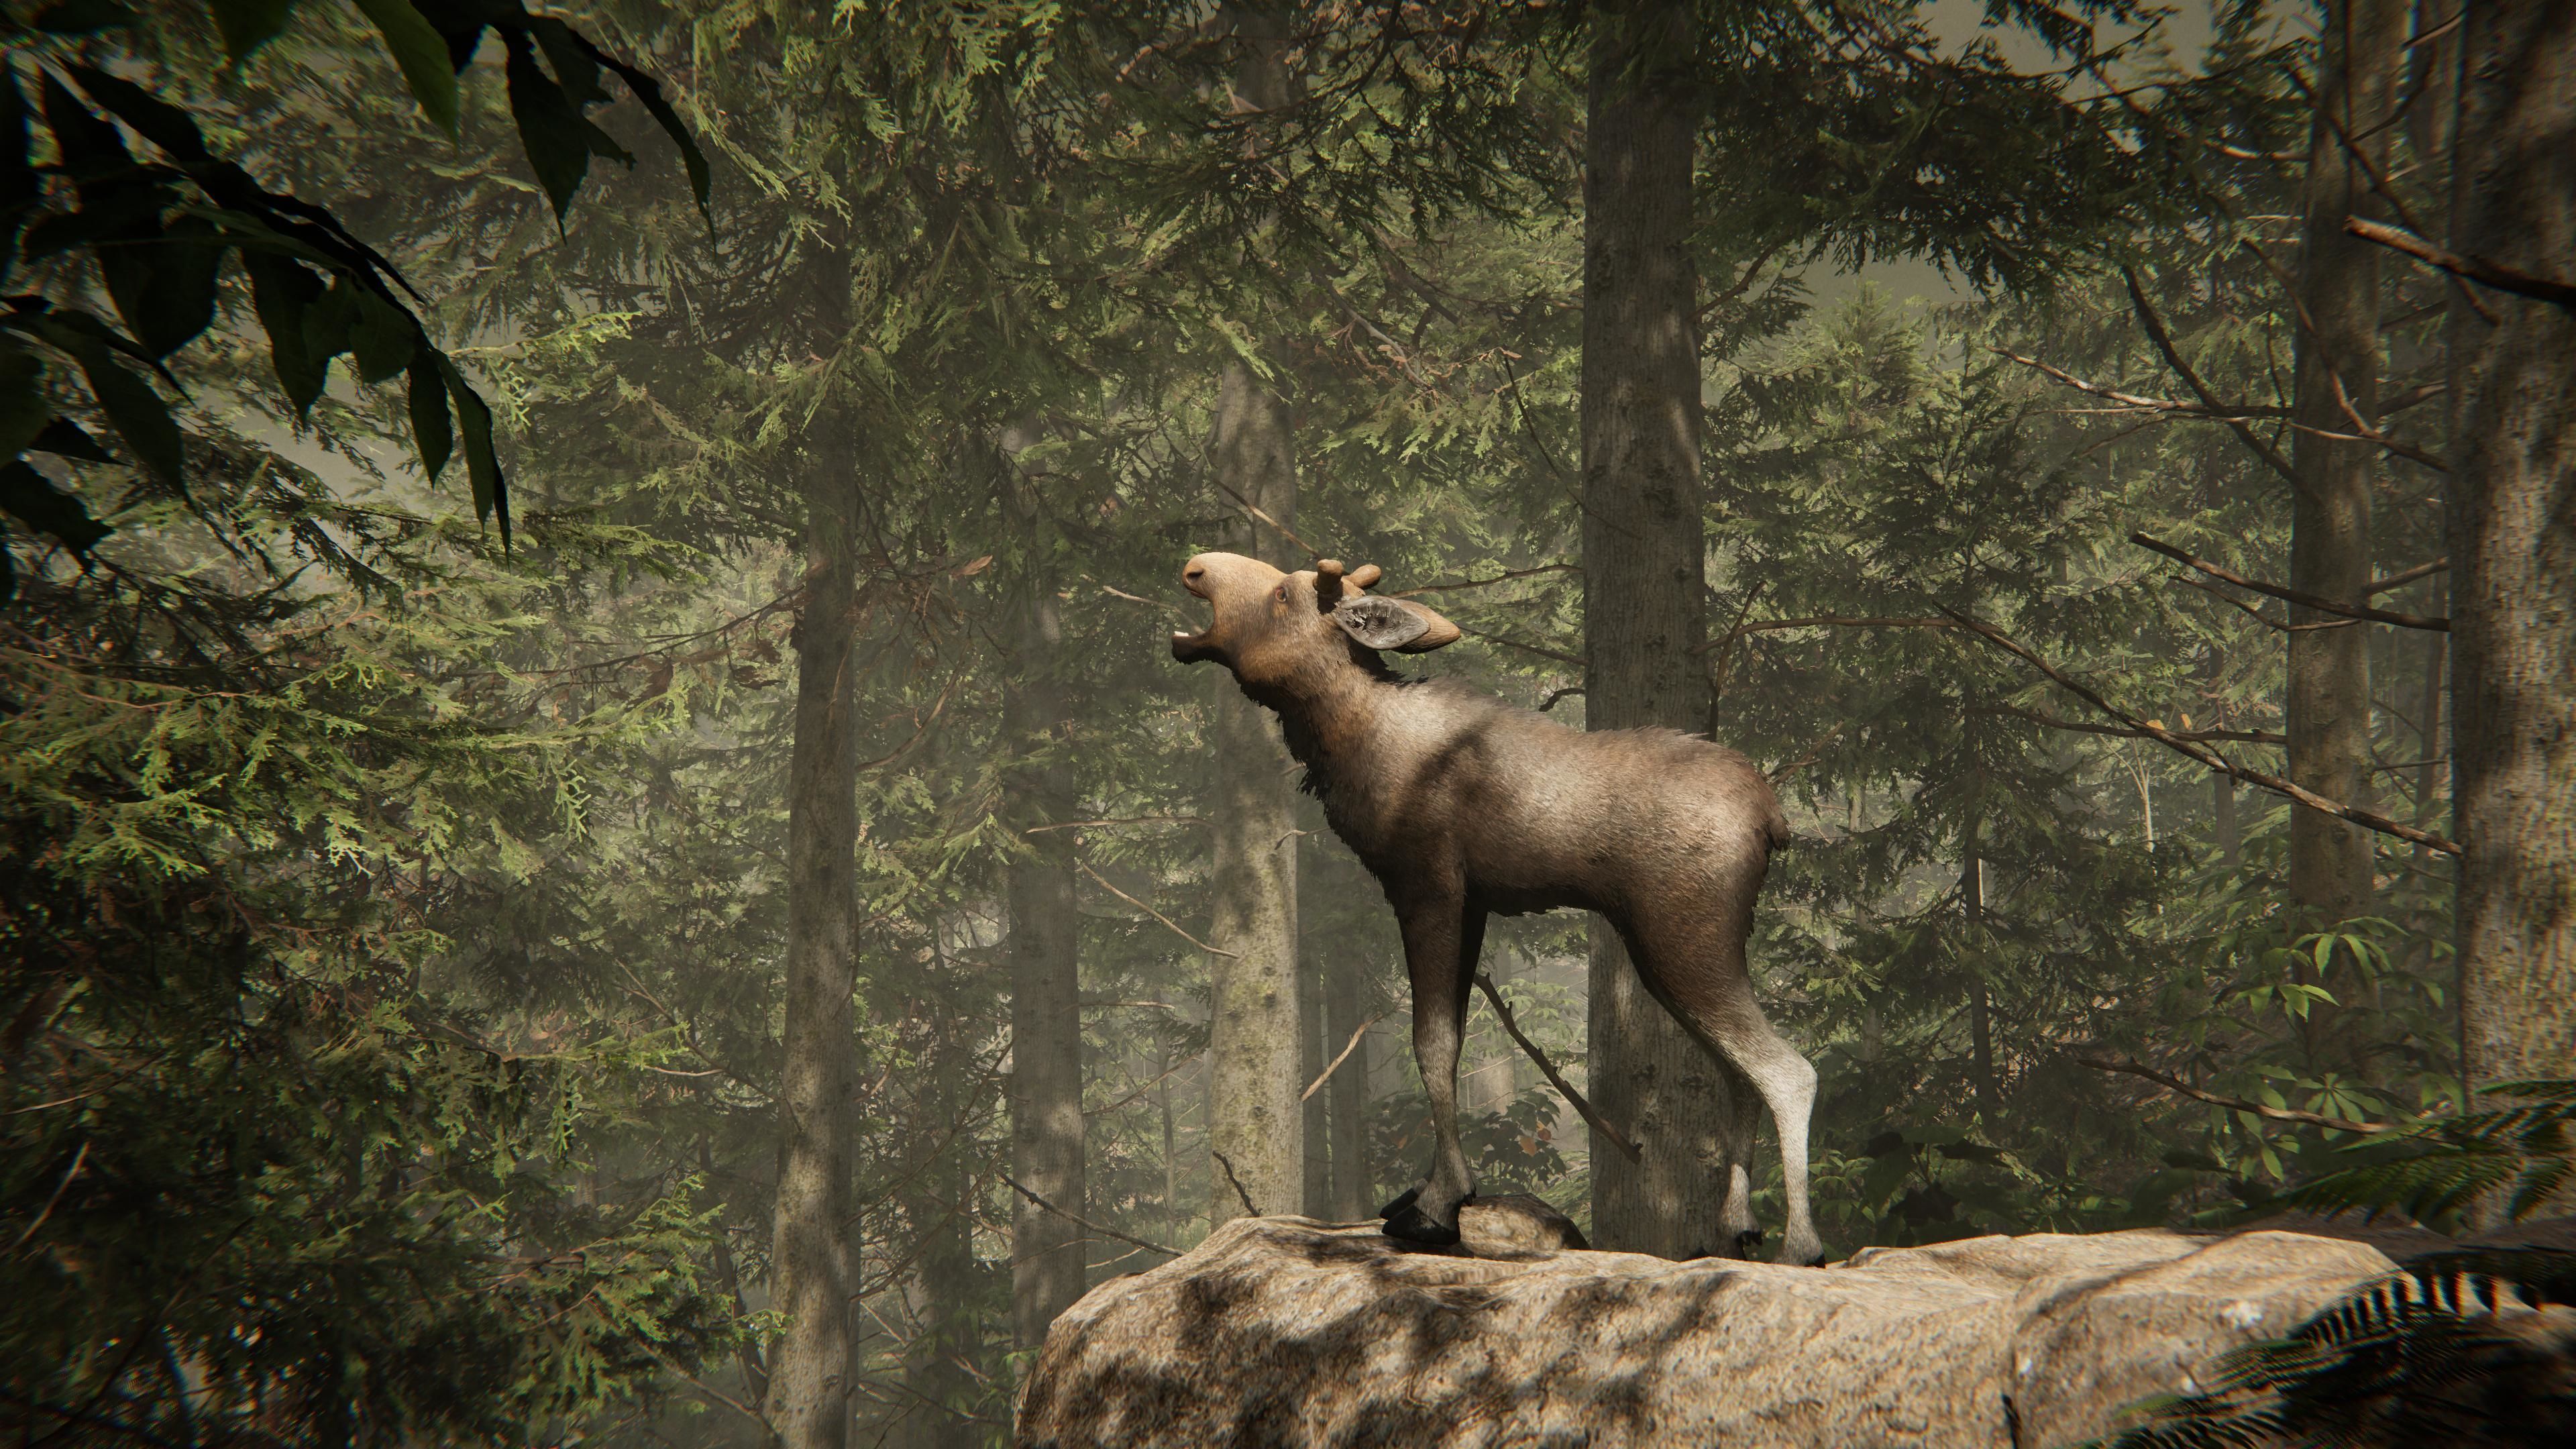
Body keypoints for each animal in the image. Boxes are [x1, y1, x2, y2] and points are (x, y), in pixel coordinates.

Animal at [1170, 550, 1823, 1265]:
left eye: (1285, 595)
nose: (1198, 566)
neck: (1349, 739)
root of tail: (1773, 820)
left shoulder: (1428, 888)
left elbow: (1431, 1043)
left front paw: (1438, 1207)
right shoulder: (1472, 906)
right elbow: (1452, 1040)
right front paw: (1434, 1192)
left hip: (1684, 937)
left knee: (1788, 1069)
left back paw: (1801, 1244)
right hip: (1673, 953)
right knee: (1740, 1075)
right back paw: (1736, 1227)